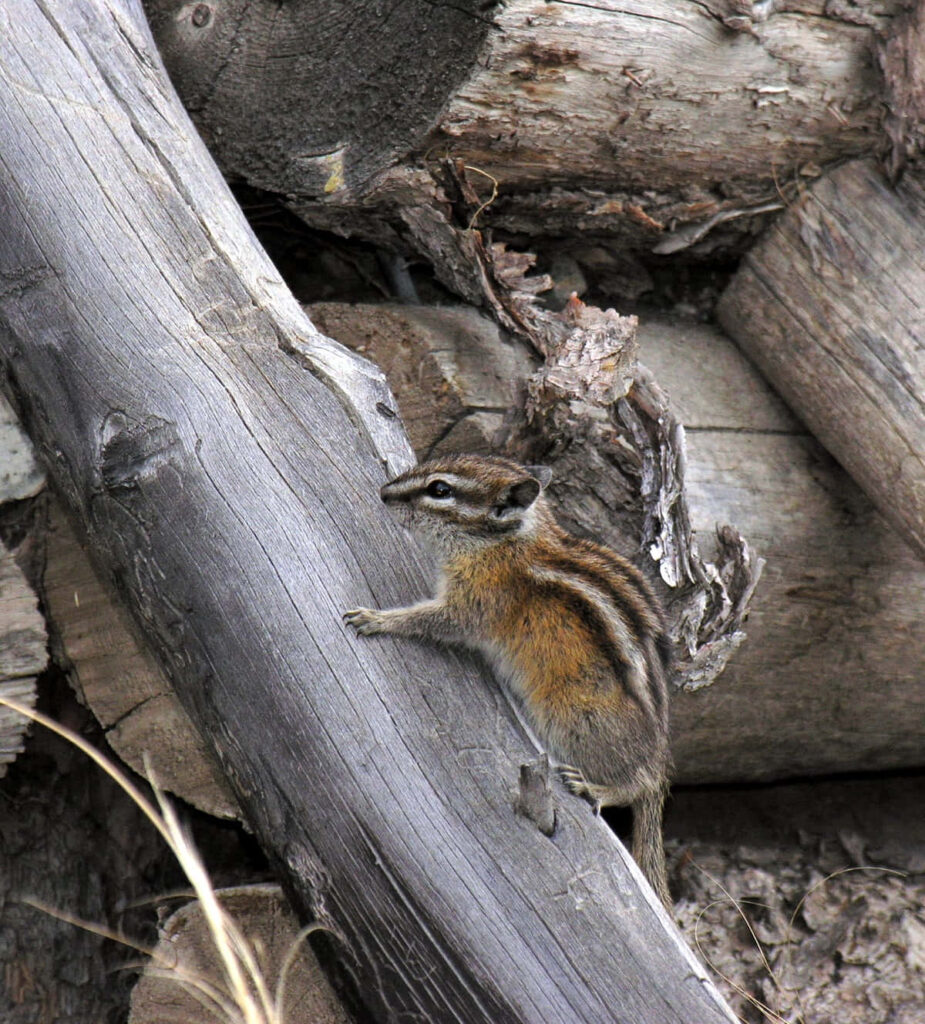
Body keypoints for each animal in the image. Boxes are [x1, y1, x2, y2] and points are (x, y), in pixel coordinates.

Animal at [344, 454, 672, 907]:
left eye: (440, 490)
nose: (383, 493)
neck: (505, 541)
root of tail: (660, 752)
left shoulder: (478, 601)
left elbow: (435, 621)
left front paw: (377, 618)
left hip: (576, 718)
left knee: (638, 782)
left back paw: (598, 788)